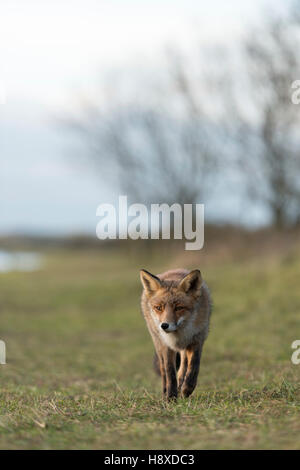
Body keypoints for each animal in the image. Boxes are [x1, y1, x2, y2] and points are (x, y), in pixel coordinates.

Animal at [140, 268, 211, 400]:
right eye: (159, 308)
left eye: (178, 308)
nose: (164, 325)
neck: (178, 335)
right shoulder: (166, 346)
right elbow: (169, 372)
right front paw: (171, 397)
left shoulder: (197, 339)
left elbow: (193, 366)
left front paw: (187, 389)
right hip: (158, 343)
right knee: (163, 370)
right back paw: (165, 391)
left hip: (184, 347)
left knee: (183, 366)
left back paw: (181, 384)